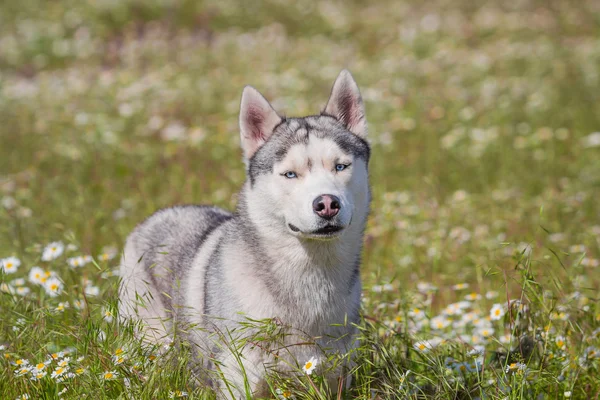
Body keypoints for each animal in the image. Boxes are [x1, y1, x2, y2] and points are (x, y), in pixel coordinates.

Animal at [118, 70, 370, 398]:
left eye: (341, 166)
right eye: (290, 174)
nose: (327, 204)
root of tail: (157, 215)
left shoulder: (335, 374)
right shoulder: (239, 377)